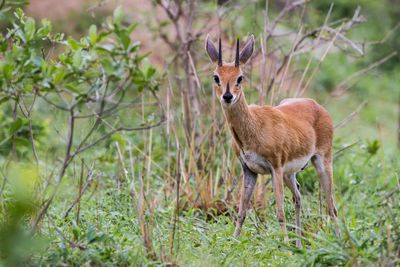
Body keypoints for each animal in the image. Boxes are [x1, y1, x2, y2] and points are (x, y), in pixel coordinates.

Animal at [206, 35, 340, 249]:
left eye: (240, 77)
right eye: (216, 77)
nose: (227, 96)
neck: (253, 127)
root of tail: (316, 105)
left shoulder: (275, 168)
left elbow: (279, 212)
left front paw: (284, 247)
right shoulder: (249, 170)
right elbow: (241, 211)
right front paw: (234, 242)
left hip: (322, 162)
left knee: (331, 206)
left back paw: (340, 242)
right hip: (290, 173)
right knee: (298, 197)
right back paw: (299, 245)